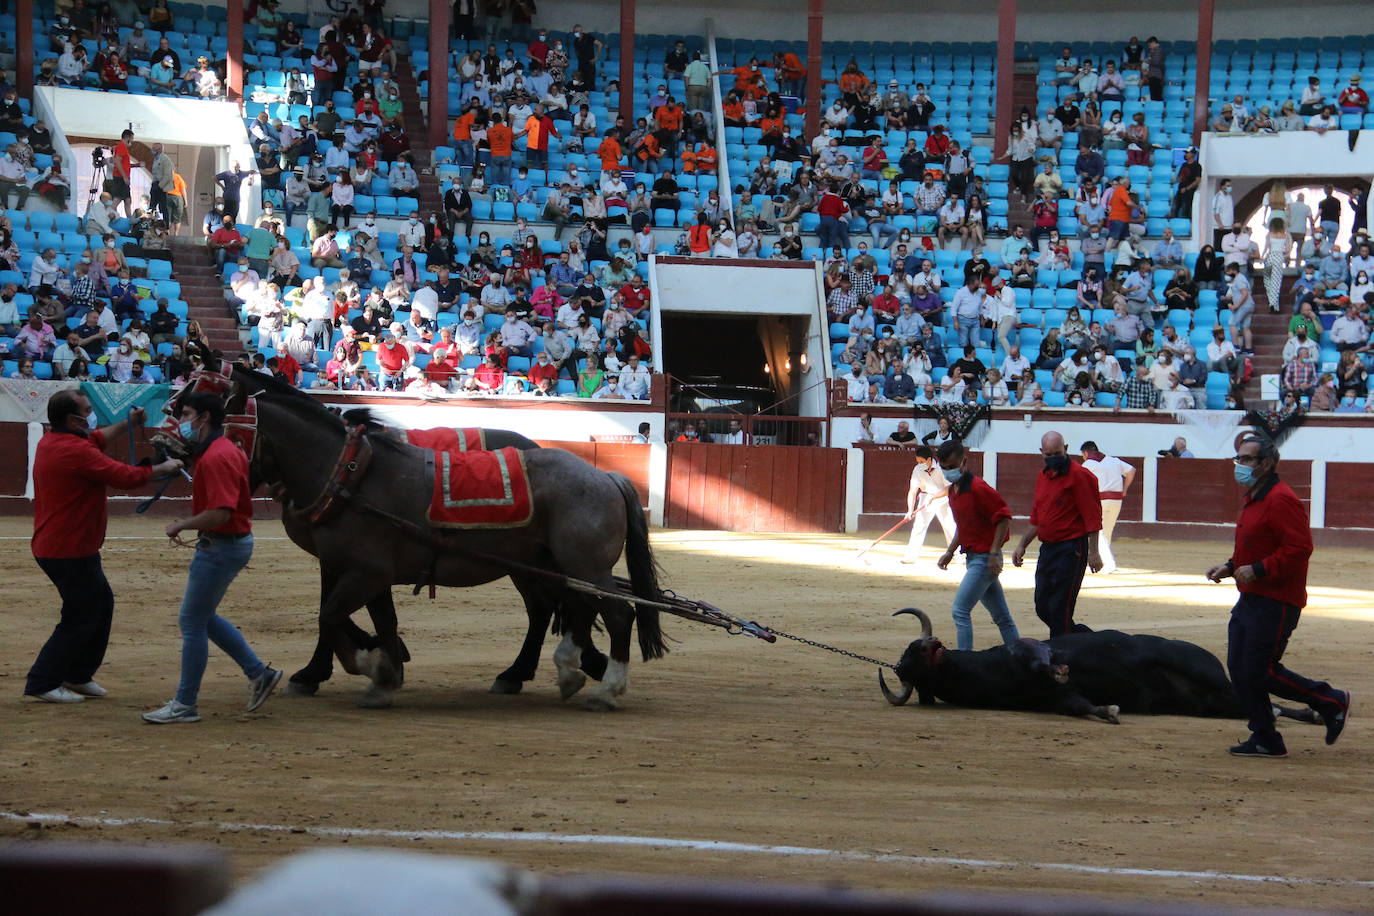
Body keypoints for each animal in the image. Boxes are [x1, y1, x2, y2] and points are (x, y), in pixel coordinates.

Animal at [879, 609, 1319, 730]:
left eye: (914, 651)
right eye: (909, 666)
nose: (932, 644)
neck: (992, 670)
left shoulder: (1032, 650)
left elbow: (1044, 660)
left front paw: (1059, 668)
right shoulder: (1053, 701)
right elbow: (1079, 705)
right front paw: (1109, 710)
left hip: (1201, 670)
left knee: (1256, 697)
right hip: (1206, 704)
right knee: (1254, 704)